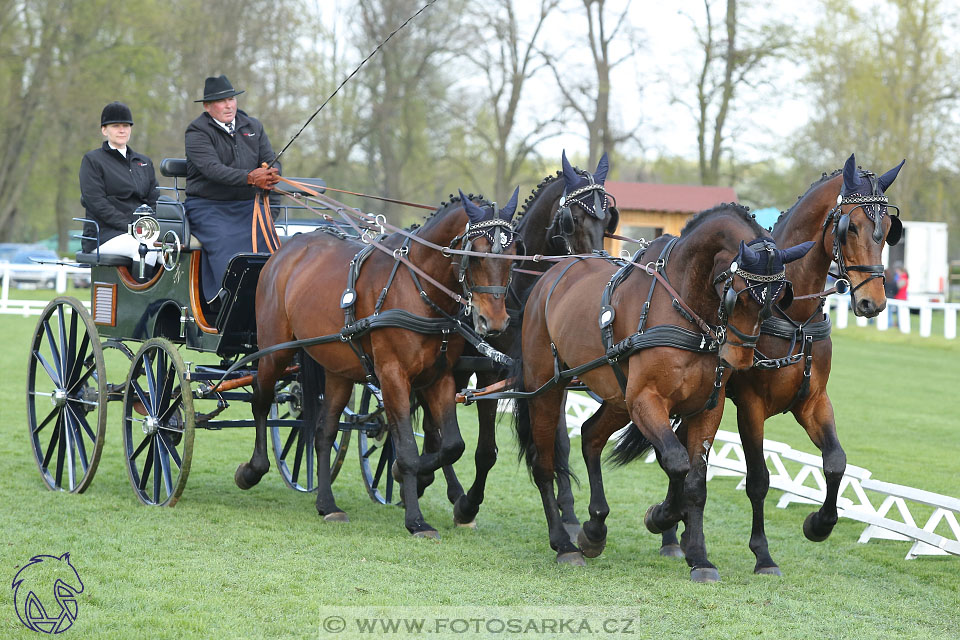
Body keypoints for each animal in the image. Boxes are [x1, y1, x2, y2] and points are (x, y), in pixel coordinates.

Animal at [244, 194, 520, 536]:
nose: (494, 322)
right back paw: (252, 470)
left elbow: (452, 445)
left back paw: (327, 504)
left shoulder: (439, 377)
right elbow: (408, 448)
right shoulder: (393, 376)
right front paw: (415, 516)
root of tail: (289, 246)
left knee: (324, 432)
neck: (419, 288)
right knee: (261, 399)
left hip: (337, 369)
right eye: (476, 256)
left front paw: (413, 478)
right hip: (274, 351)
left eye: (513, 257)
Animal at [438, 151, 620, 528]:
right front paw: (468, 505)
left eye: (608, 218)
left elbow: (559, 443)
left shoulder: (553, 377)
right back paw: (447, 490)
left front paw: (568, 512)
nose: (597, 268)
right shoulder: (491, 372)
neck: (521, 294)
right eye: (571, 219)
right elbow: (486, 451)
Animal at [512, 204, 812, 580]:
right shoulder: (646, 399)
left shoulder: (706, 407)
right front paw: (662, 517)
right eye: (738, 294)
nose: (740, 358)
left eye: (776, 299)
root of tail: (549, 277)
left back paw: (594, 529)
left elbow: (696, 482)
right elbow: (676, 461)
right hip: (547, 390)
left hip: (617, 396)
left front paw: (698, 555)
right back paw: (564, 543)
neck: (685, 308)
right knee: (544, 465)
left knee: (591, 435)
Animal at [648, 154, 904, 576]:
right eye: (851, 228)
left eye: (886, 232)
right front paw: (763, 555)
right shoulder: (750, 406)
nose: (874, 303)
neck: (793, 316)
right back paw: (670, 526)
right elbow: (758, 480)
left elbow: (835, 462)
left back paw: (678, 530)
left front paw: (819, 524)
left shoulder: (813, 401)